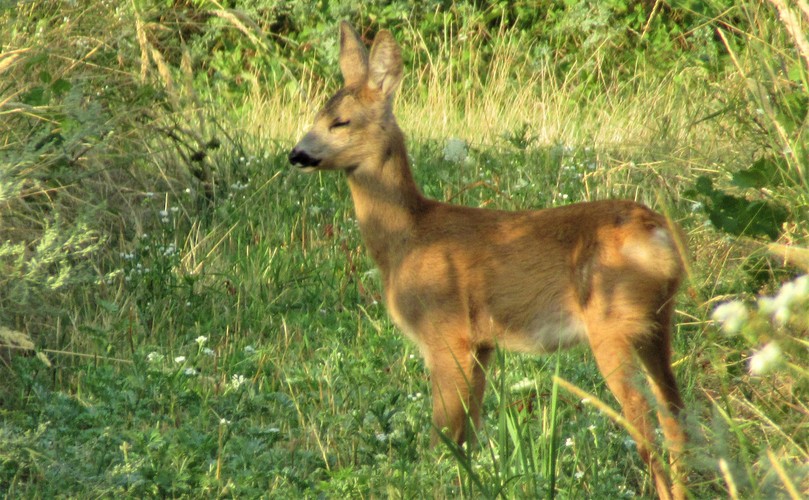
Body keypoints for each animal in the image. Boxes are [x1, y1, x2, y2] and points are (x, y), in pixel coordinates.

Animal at [288, 21, 684, 498]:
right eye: (316, 115)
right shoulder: (482, 345)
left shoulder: (447, 332)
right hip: (656, 323)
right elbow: (469, 435)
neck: (407, 238)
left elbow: (444, 434)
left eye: (340, 121)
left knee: (643, 418)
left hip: (611, 322)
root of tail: (658, 234)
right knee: (676, 411)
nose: (296, 154)